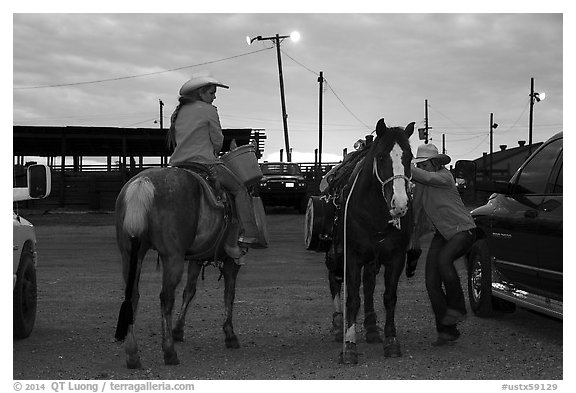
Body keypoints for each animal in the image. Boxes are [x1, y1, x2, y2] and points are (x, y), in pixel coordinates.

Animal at [115, 167, 243, 370]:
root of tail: (144, 182)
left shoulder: (195, 260)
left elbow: (189, 291)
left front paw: (178, 330)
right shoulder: (232, 262)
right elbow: (229, 294)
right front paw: (230, 334)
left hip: (130, 255)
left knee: (133, 296)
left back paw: (133, 354)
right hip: (172, 258)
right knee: (166, 298)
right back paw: (169, 352)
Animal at [324, 118, 414, 362]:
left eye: (409, 157)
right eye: (381, 157)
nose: (399, 204)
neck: (375, 213)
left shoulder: (396, 256)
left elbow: (389, 297)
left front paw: (391, 341)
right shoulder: (352, 255)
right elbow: (352, 298)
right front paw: (349, 345)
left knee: (370, 284)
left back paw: (372, 328)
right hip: (337, 253)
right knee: (335, 279)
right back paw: (338, 324)